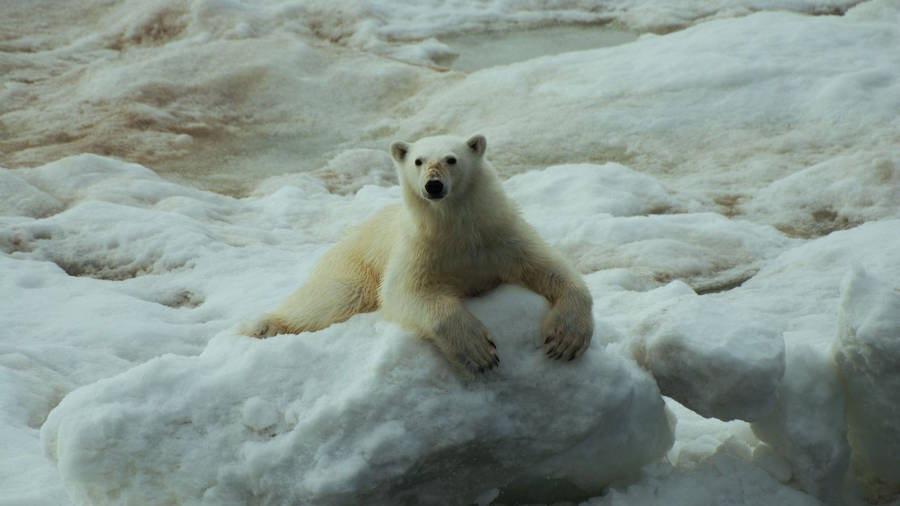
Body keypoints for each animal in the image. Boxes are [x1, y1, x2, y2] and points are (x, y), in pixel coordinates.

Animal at [245, 134, 594, 374]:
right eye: (418, 160)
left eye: (451, 159)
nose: (433, 185)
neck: (458, 231)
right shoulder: (420, 249)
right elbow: (406, 292)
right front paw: (480, 353)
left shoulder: (501, 236)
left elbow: (550, 268)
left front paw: (564, 341)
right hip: (352, 263)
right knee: (335, 297)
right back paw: (264, 325)